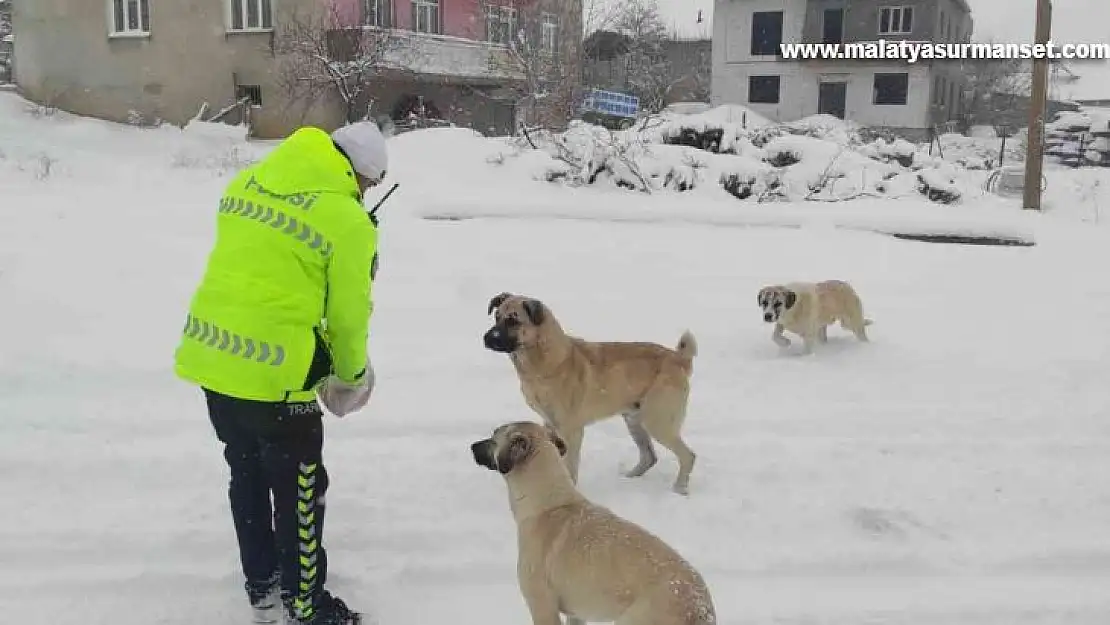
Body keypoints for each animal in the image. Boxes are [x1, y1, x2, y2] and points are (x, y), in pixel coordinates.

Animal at [470, 417, 719, 625]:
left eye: (494, 437)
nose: (471, 446)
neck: (550, 504)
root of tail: (699, 608)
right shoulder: (575, 614)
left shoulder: (542, 607)